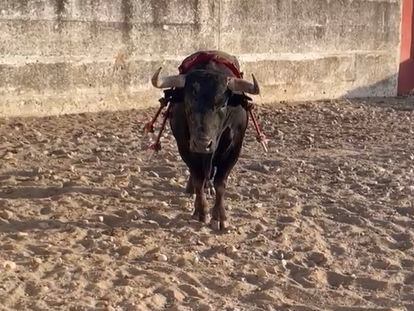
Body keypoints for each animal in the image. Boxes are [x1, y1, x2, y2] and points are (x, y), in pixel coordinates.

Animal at [150, 51, 260, 232]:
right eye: (188, 102)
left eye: (222, 104)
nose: (202, 144)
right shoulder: (185, 146)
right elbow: (198, 178)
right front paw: (201, 211)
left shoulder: (234, 148)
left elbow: (220, 183)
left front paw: (220, 217)